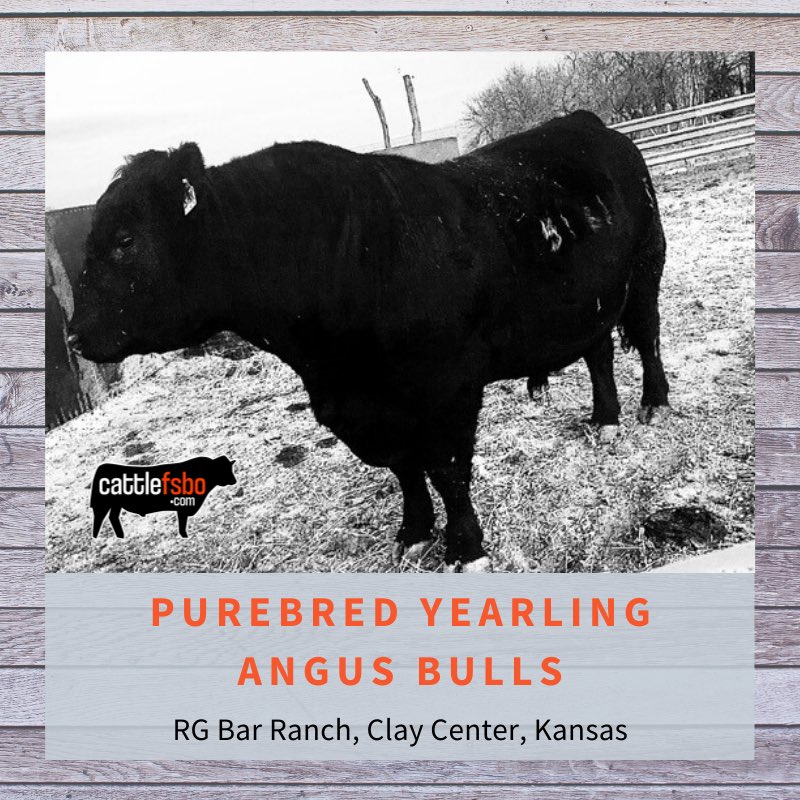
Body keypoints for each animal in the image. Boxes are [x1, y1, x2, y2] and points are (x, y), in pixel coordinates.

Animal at [67, 110, 670, 572]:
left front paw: (466, 548)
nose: (73, 335)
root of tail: (586, 123)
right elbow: (405, 469)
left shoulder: (447, 387)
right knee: (598, 351)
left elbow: (447, 470)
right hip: (592, 298)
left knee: (647, 338)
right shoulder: (368, 406)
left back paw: (654, 405)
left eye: (125, 240)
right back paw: (605, 419)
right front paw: (414, 534)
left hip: (645, 269)